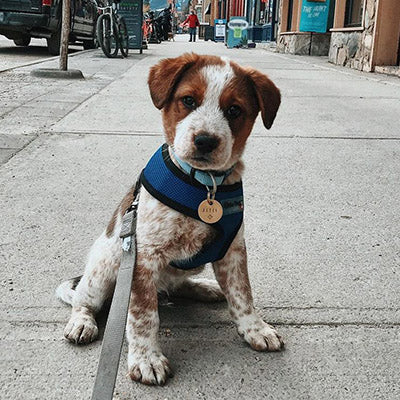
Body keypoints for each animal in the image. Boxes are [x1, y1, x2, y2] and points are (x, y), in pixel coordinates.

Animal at [56, 52, 282, 384]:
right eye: (188, 100)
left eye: (234, 109)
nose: (205, 141)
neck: (203, 186)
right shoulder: (143, 257)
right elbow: (142, 315)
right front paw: (146, 358)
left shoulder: (233, 251)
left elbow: (243, 293)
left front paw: (255, 328)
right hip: (106, 266)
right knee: (83, 300)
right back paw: (82, 322)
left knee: (177, 284)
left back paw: (204, 287)